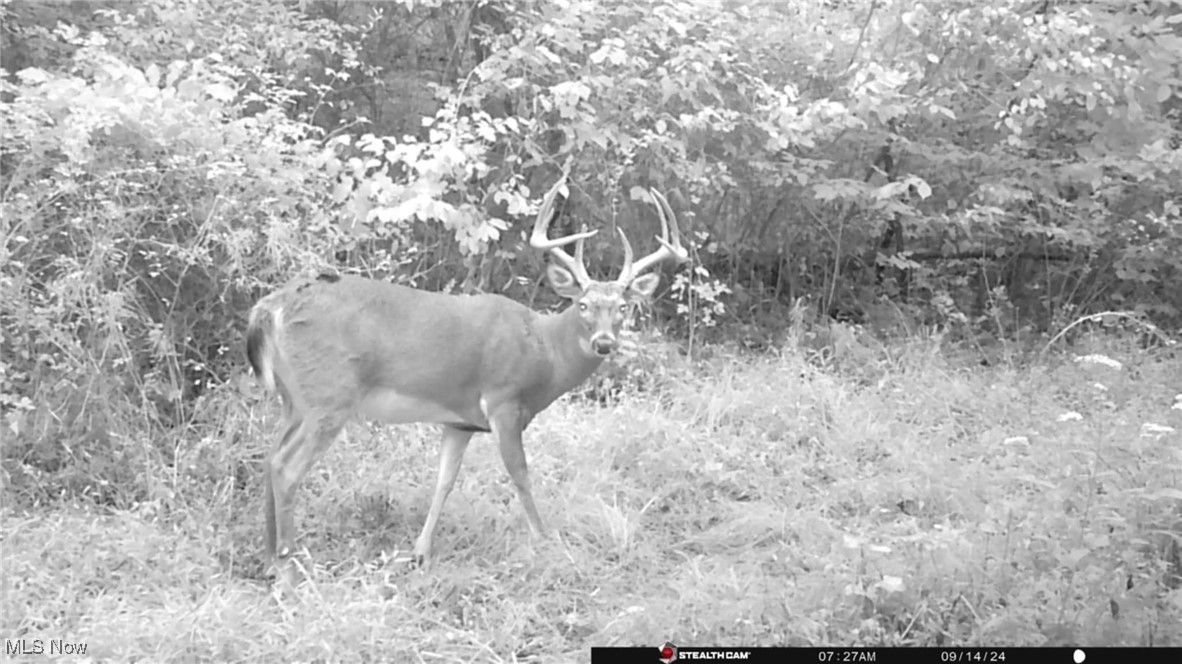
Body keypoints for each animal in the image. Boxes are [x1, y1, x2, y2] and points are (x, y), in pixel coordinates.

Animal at [247, 177, 690, 578]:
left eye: (622, 308)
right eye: (583, 304)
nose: (603, 343)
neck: (543, 351)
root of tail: (270, 307)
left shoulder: (458, 422)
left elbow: (444, 480)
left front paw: (420, 552)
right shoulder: (503, 401)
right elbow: (520, 475)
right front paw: (545, 540)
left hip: (294, 399)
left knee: (269, 457)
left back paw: (268, 560)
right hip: (328, 395)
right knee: (286, 466)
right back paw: (287, 566)